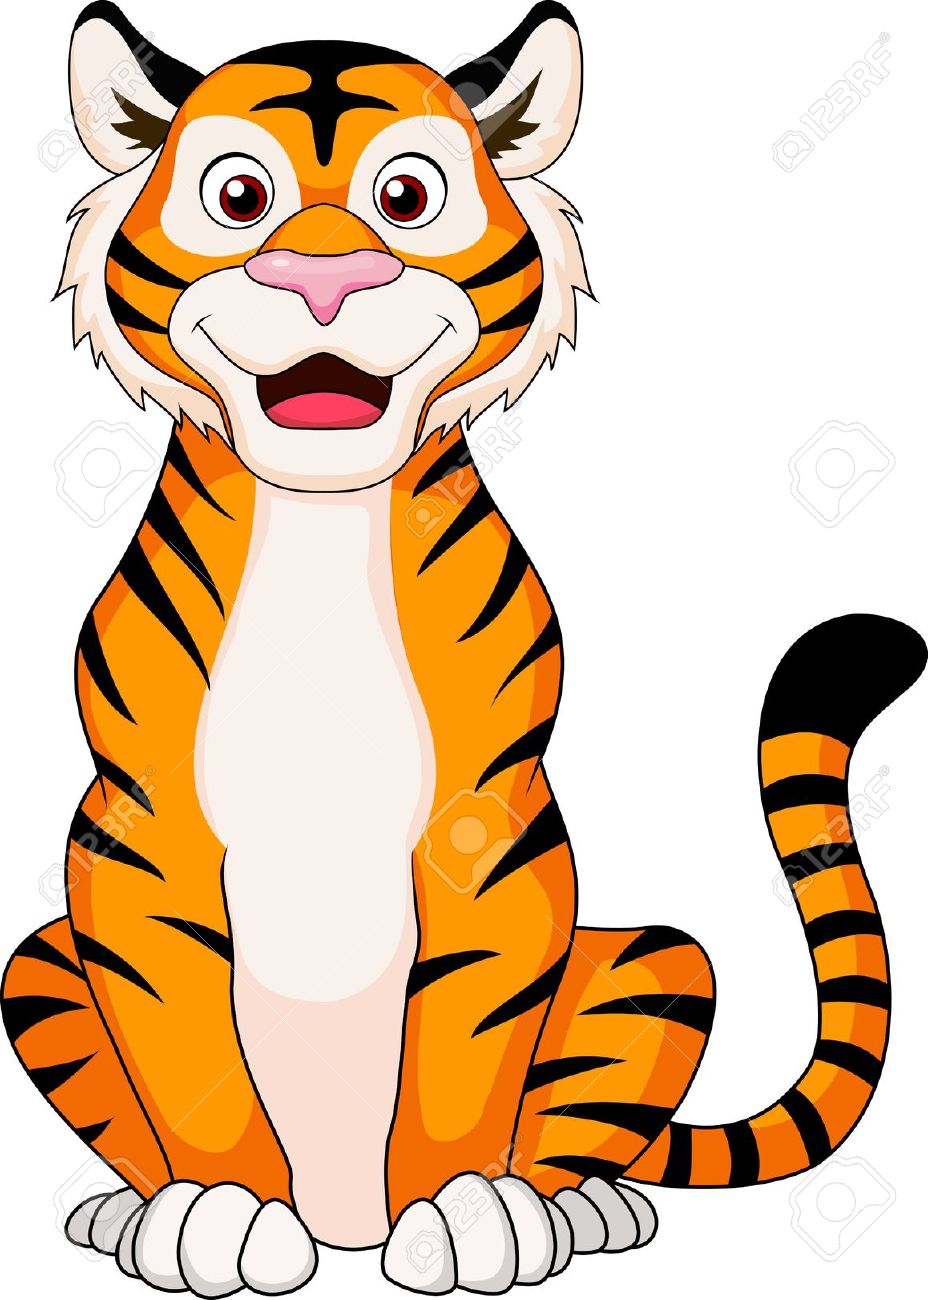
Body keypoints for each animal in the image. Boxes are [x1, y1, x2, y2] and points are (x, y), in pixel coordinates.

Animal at [2, 2, 925, 1295]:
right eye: (240, 195)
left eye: (405, 195)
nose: (324, 277)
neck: (324, 513)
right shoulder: (142, 832)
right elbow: (188, 1048)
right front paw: (224, 1212)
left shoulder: (485, 830)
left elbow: (468, 1046)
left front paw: (462, 1210)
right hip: (35, 963)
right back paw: (122, 1214)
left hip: (656, 962)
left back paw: (576, 1209)